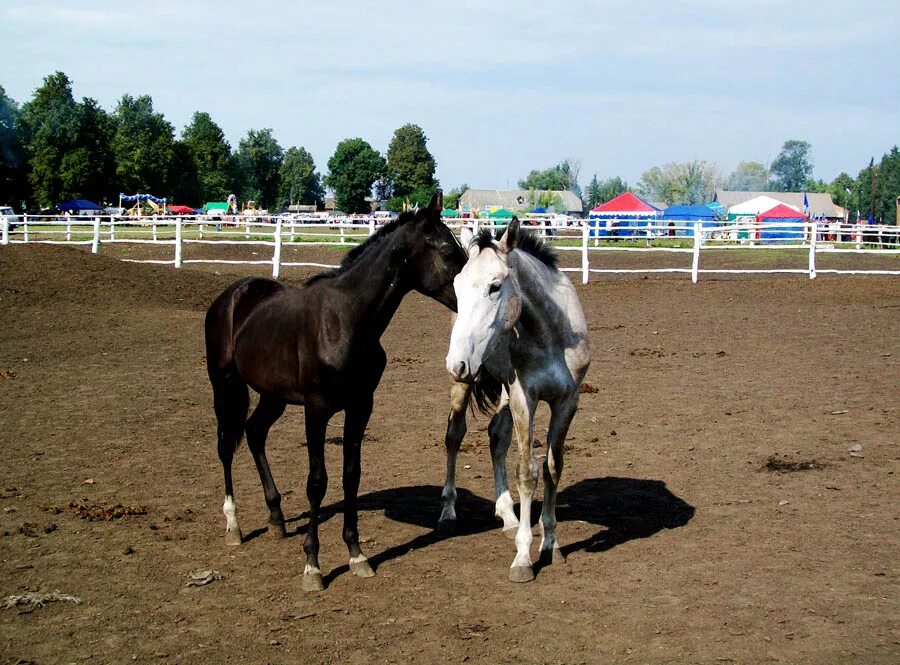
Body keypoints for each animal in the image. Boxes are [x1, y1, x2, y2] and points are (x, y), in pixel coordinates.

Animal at [204, 193, 464, 592]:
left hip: (273, 396)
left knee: (254, 432)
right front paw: (313, 566)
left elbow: (350, 476)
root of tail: (231, 296)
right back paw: (234, 525)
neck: (346, 321)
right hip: (225, 384)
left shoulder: (360, 406)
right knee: (225, 443)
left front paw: (357, 555)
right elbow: (317, 482)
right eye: (449, 251)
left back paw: (276, 518)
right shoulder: (317, 409)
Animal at [442, 219, 592, 580]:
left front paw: (551, 544)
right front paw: (523, 556)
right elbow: (527, 472)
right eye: (457, 285)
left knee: (497, 438)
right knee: (454, 436)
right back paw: (449, 510)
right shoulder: (526, 399)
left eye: (495, 286)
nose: (455, 362)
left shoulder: (567, 402)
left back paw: (508, 515)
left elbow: (553, 467)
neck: (551, 336)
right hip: (469, 385)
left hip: (505, 394)